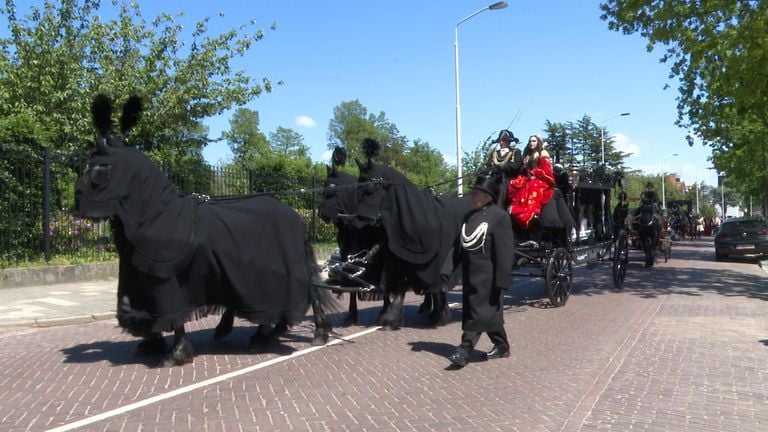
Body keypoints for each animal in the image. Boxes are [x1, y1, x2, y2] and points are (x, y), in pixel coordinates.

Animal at [75, 93, 336, 364]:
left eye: (99, 170)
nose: (77, 203)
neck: (156, 215)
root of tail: (295, 216)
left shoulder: (167, 284)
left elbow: (173, 315)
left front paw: (177, 353)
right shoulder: (136, 280)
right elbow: (133, 308)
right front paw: (151, 342)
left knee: (306, 295)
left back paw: (304, 334)